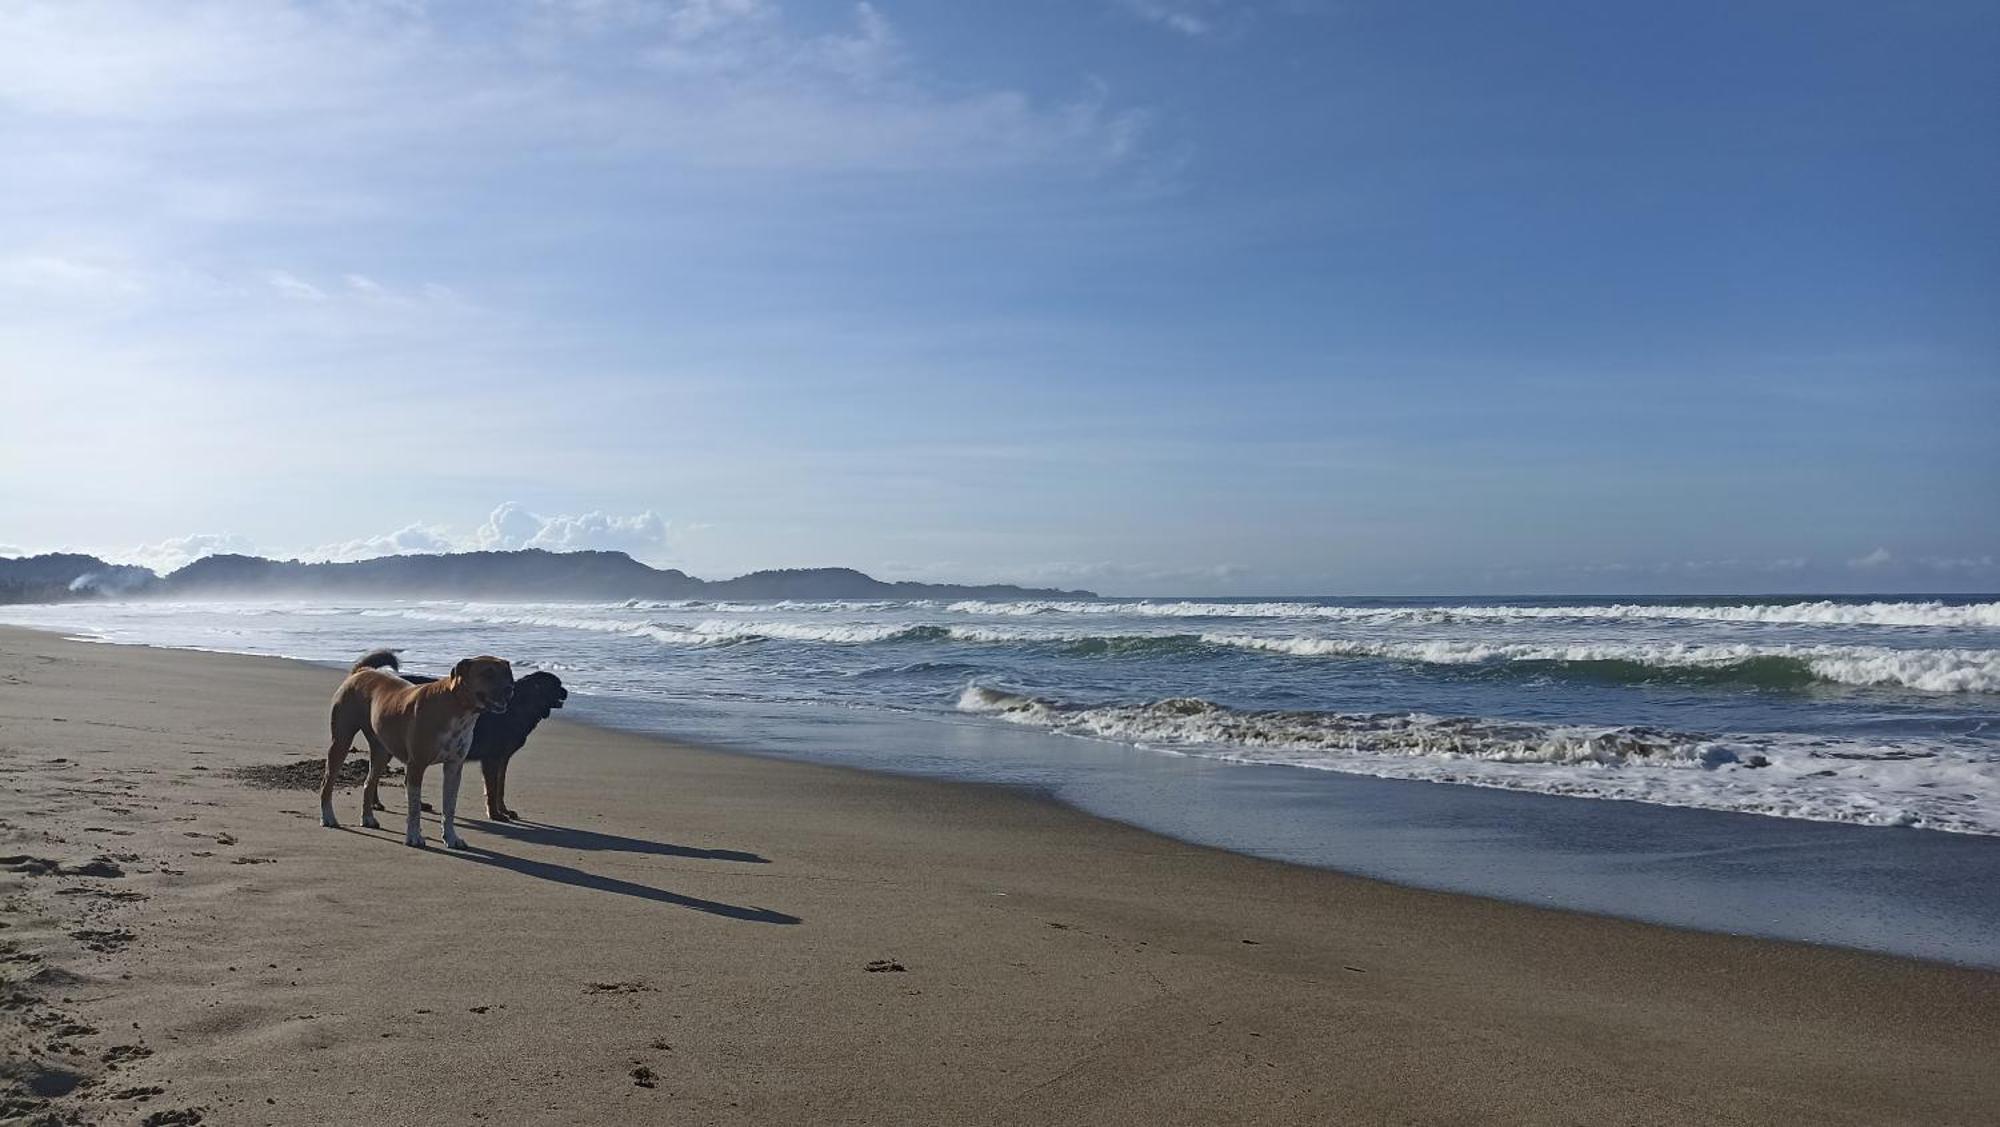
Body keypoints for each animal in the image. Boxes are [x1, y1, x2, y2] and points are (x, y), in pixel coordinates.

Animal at [320, 651, 516, 847]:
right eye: (488, 673)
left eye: (507, 673)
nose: (509, 688)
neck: (457, 709)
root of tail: (361, 671)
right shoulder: (416, 765)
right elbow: (414, 808)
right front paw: (414, 836)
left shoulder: (454, 766)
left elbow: (449, 807)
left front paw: (451, 837)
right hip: (341, 741)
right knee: (327, 782)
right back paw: (328, 817)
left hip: (382, 751)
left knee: (369, 782)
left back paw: (368, 818)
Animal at [392, 667, 568, 819]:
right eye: (556, 685)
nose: (566, 692)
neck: (521, 704)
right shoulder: (491, 759)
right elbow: (492, 789)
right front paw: (495, 814)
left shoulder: (502, 759)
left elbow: (500, 786)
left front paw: (504, 810)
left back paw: (420, 805)